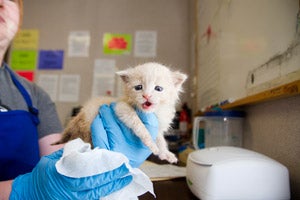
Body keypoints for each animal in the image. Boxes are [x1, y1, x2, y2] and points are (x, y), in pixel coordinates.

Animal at [54, 62, 186, 164]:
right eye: (138, 87)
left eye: (158, 89)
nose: (146, 96)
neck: (152, 113)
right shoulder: (121, 108)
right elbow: (138, 124)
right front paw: (150, 142)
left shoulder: (158, 126)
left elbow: (161, 140)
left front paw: (165, 153)